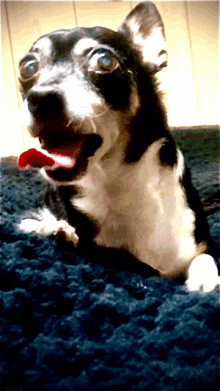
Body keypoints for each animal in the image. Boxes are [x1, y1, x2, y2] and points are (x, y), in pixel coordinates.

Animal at [17, 1, 220, 292]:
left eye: (105, 61)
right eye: (28, 67)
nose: (41, 98)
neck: (115, 180)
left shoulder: (198, 245)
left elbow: (203, 258)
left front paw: (204, 280)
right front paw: (53, 229)